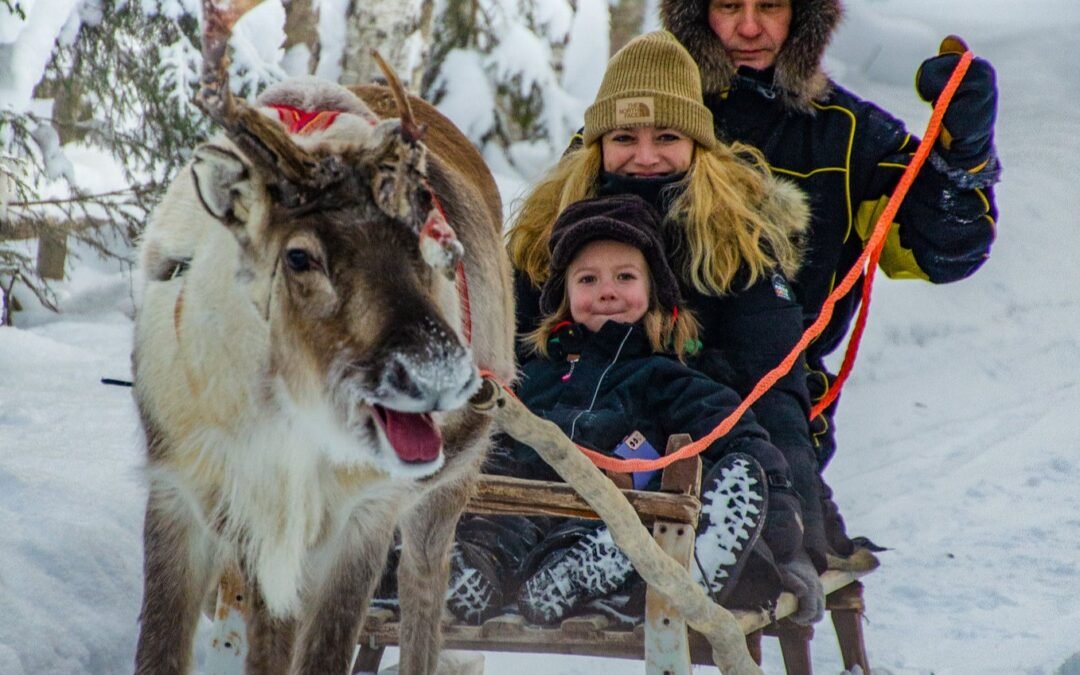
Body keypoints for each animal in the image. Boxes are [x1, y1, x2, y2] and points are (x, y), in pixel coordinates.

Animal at [131, 1, 513, 672]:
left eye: (427, 228)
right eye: (299, 256)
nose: (443, 375)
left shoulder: (363, 516)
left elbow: (327, 649)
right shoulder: (183, 492)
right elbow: (168, 648)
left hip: (452, 484)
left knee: (424, 589)